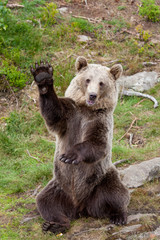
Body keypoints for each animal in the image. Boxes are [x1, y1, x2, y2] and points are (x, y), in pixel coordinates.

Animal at [30, 57, 129, 233]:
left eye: (102, 83)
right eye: (88, 79)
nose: (92, 95)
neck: (87, 109)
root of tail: (80, 206)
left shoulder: (99, 121)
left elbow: (97, 144)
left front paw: (70, 156)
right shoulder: (69, 116)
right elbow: (53, 113)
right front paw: (42, 74)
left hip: (101, 178)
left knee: (116, 193)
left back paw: (119, 216)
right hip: (60, 186)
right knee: (46, 202)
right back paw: (54, 224)